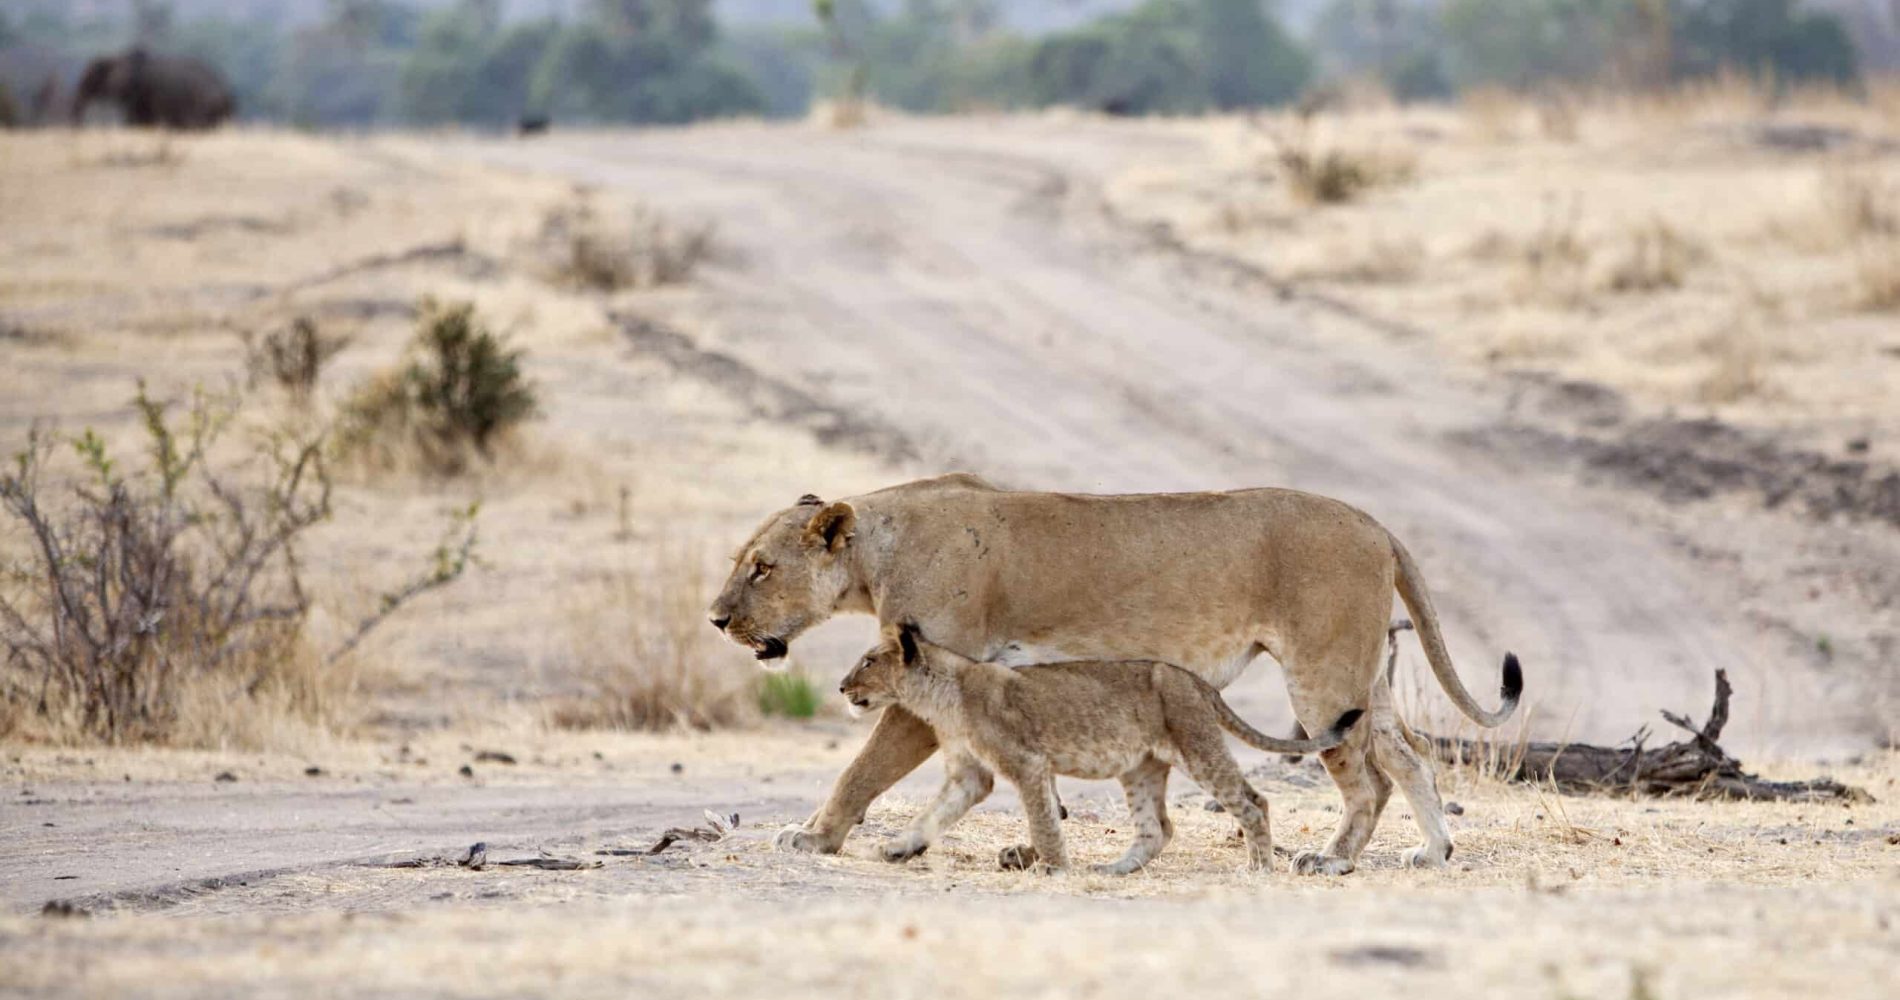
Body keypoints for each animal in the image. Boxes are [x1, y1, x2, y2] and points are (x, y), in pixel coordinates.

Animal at [72, 48, 233, 130]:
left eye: (93, 75)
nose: (79, 126)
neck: (118, 57)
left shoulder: (137, 90)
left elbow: (134, 118)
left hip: (204, 103)